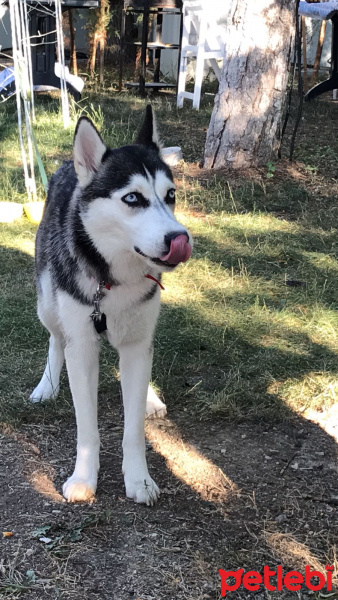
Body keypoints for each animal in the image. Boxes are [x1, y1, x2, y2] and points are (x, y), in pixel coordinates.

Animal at [31, 105, 193, 504]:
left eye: (170, 195)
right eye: (133, 198)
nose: (179, 238)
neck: (112, 279)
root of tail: (65, 166)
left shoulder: (136, 344)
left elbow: (133, 427)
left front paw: (139, 479)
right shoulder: (82, 347)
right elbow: (87, 428)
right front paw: (83, 479)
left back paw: (150, 398)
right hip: (47, 302)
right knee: (55, 337)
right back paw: (47, 386)